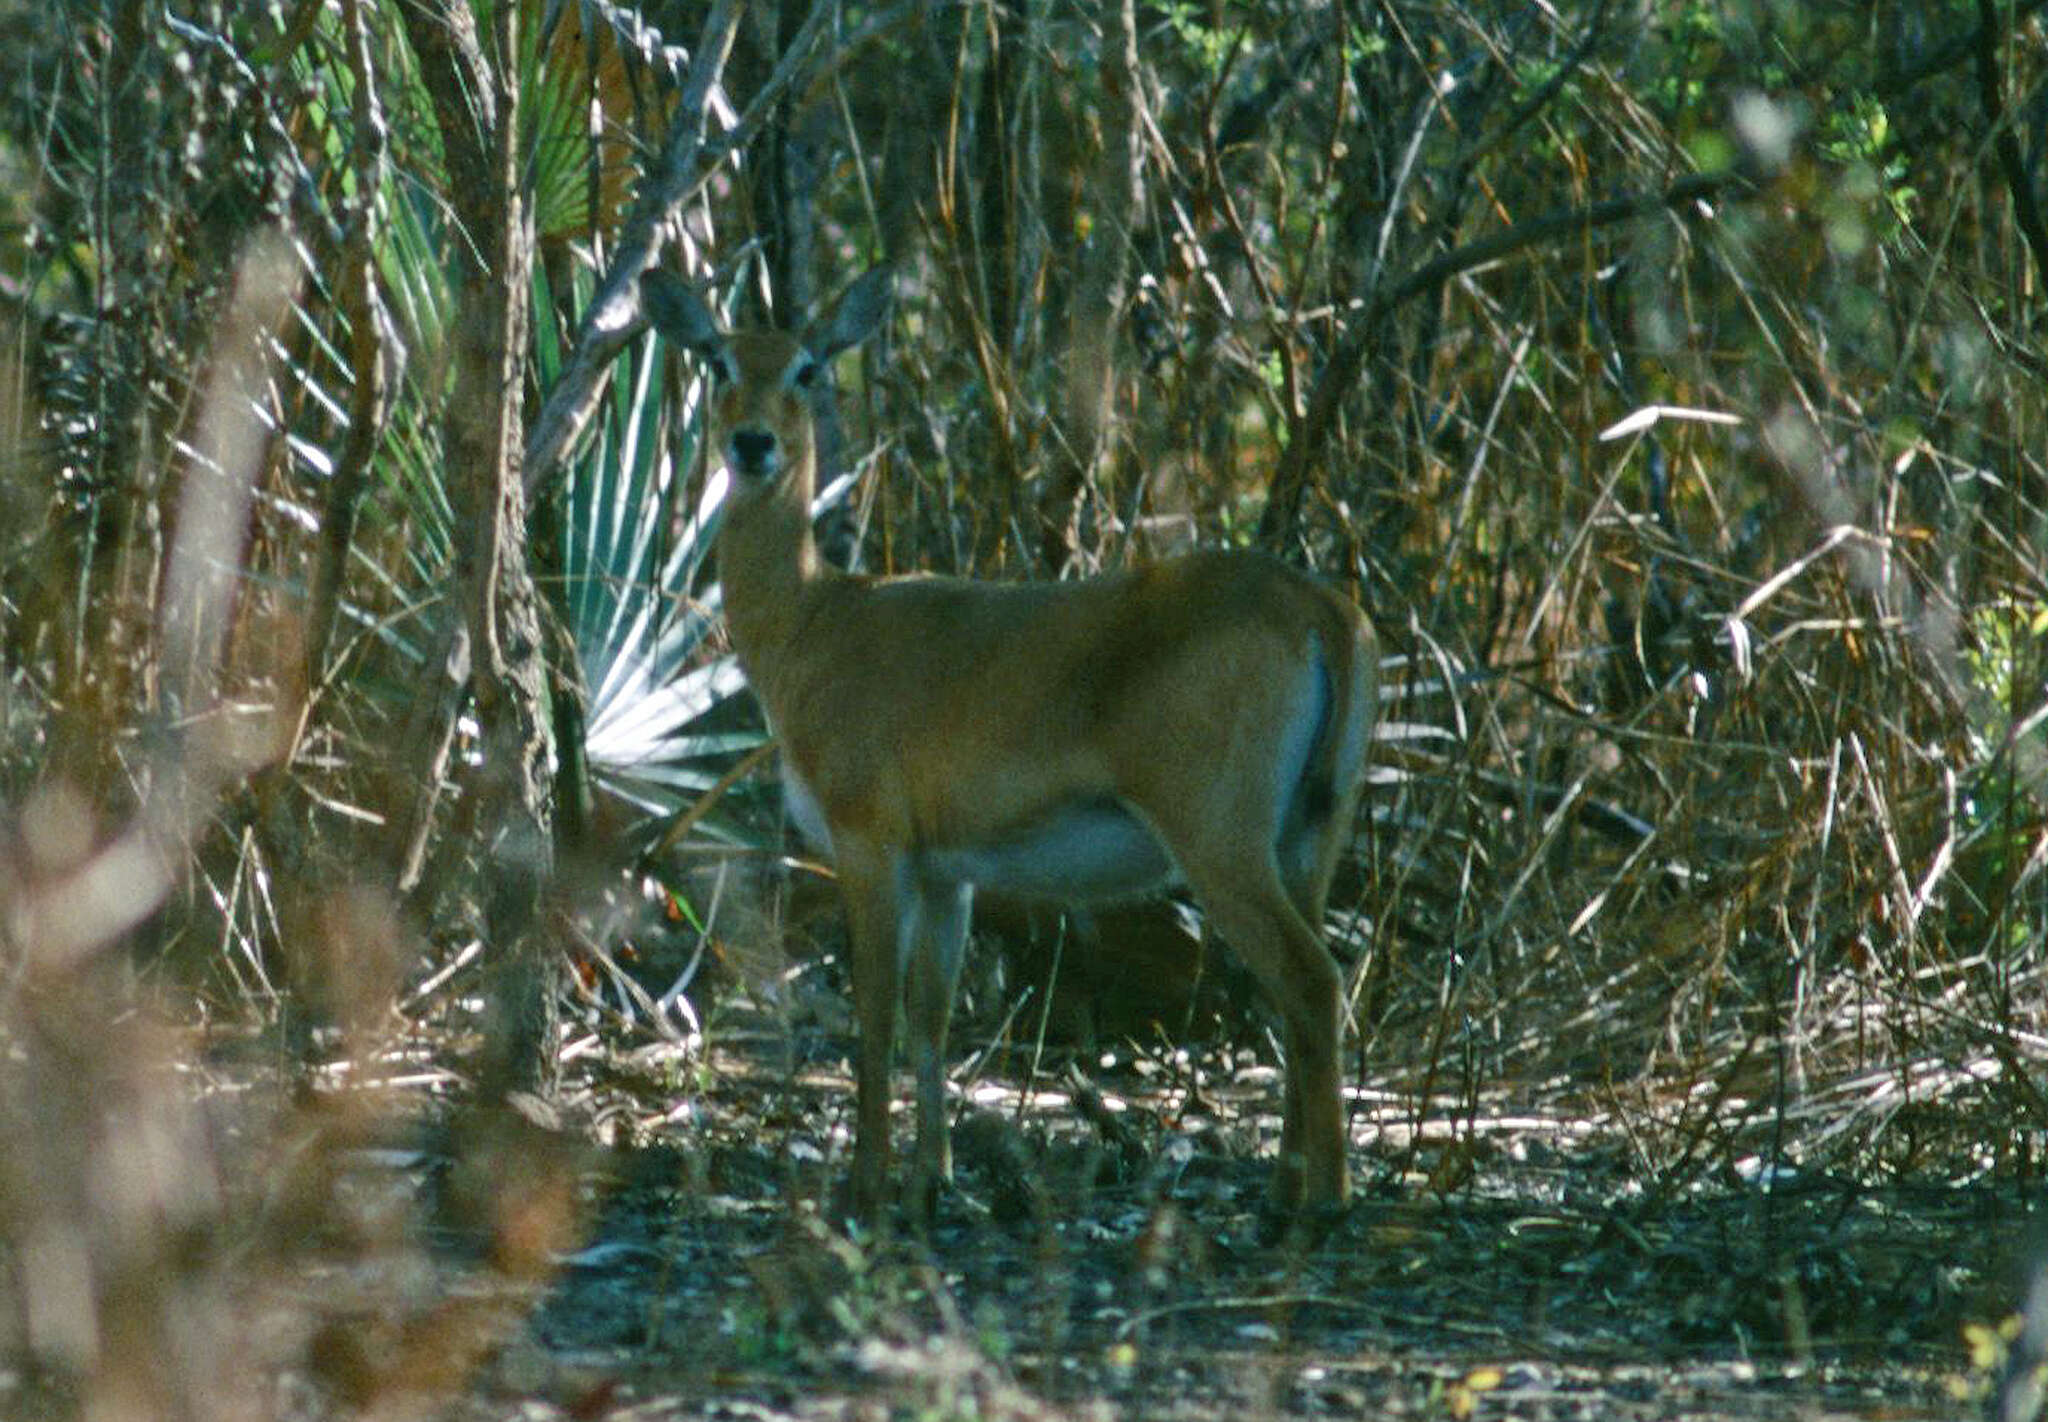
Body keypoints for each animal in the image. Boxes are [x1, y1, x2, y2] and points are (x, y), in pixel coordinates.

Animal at [643, 266, 1376, 1229]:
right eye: (718, 359)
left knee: (1312, 978)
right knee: (1302, 983)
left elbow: (873, 1012)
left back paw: (1324, 1200)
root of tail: (1323, 614)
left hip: (1215, 819)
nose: (753, 442)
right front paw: (932, 1178)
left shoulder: (867, 827)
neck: (811, 629)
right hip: (1314, 821)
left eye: (807, 366)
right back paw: (1286, 1186)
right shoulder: (945, 863)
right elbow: (930, 1014)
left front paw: (867, 1186)